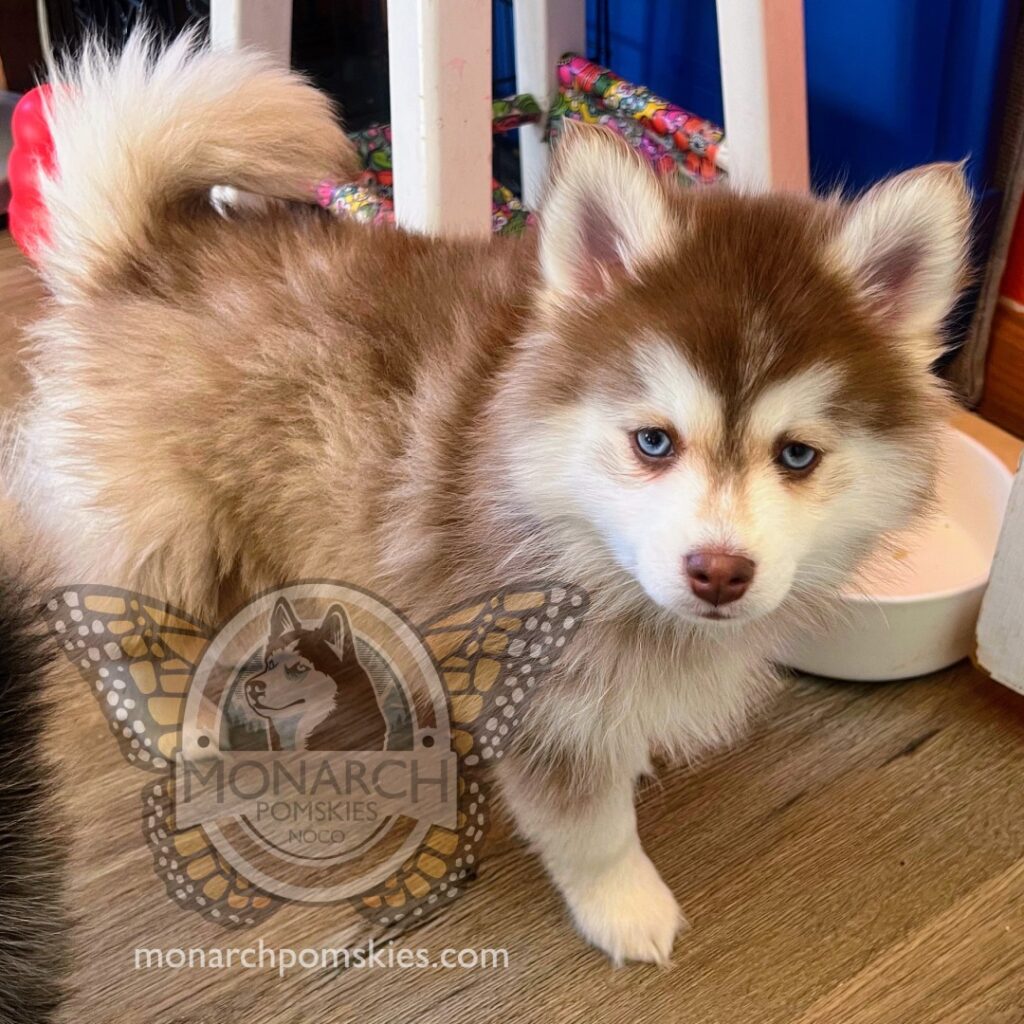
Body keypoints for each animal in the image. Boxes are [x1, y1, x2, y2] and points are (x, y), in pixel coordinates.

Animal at [9, 29, 966, 958]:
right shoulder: (543, 691)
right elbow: (589, 821)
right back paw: (183, 728)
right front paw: (625, 902)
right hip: (169, 524)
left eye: (798, 455)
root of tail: (147, 248)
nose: (720, 572)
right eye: (654, 442)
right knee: (140, 633)